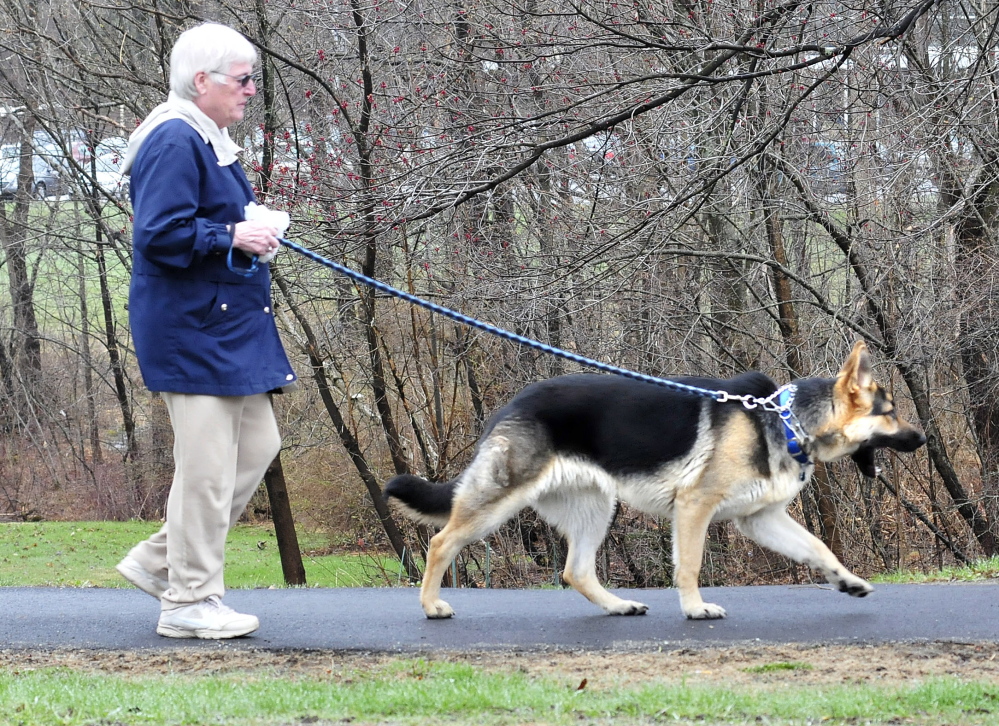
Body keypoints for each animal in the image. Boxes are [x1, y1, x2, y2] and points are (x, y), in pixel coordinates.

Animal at [384, 344, 928, 624]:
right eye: (891, 413)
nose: (923, 439)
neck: (785, 420)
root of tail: (509, 406)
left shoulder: (762, 520)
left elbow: (819, 548)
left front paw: (848, 582)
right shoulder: (694, 508)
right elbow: (689, 566)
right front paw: (694, 608)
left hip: (596, 509)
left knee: (575, 571)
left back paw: (618, 605)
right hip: (498, 503)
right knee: (440, 541)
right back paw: (431, 605)